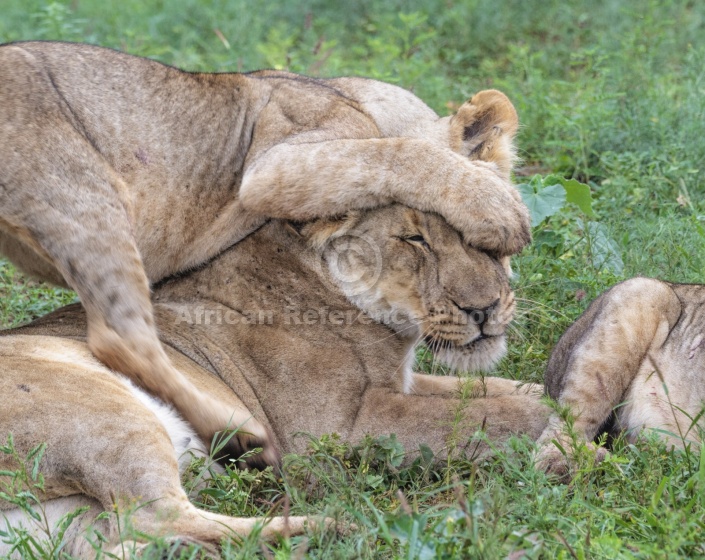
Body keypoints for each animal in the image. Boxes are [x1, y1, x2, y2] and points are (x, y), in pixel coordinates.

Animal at [0, 41, 528, 458]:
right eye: (415, 239)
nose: (483, 311)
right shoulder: (277, 164)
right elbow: (399, 152)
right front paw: (498, 208)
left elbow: (491, 389)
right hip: (85, 195)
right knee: (120, 340)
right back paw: (238, 433)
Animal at [0, 203, 544, 556]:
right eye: (415, 239)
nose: (486, 309)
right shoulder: (337, 430)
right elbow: (486, 415)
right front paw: (561, 434)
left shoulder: (401, 384)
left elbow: (497, 392)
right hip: (110, 414)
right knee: (156, 515)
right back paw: (344, 526)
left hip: (69, 516)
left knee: (120, 538)